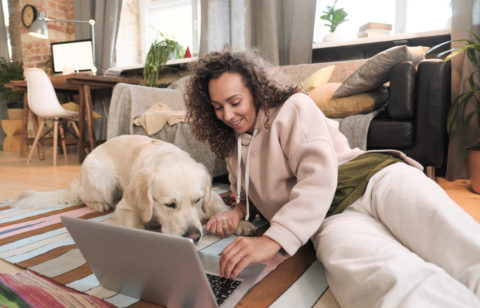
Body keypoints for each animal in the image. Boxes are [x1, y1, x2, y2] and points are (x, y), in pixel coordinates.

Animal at [13, 136, 256, 242]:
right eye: (170, 204)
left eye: (197, 201)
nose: (194, 236)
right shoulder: (127, 206)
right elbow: (134, 223)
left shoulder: (209, 194)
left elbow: (219, 206)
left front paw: (239, 223)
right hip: (102, 178)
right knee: (86, 196)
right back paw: (98, 204)